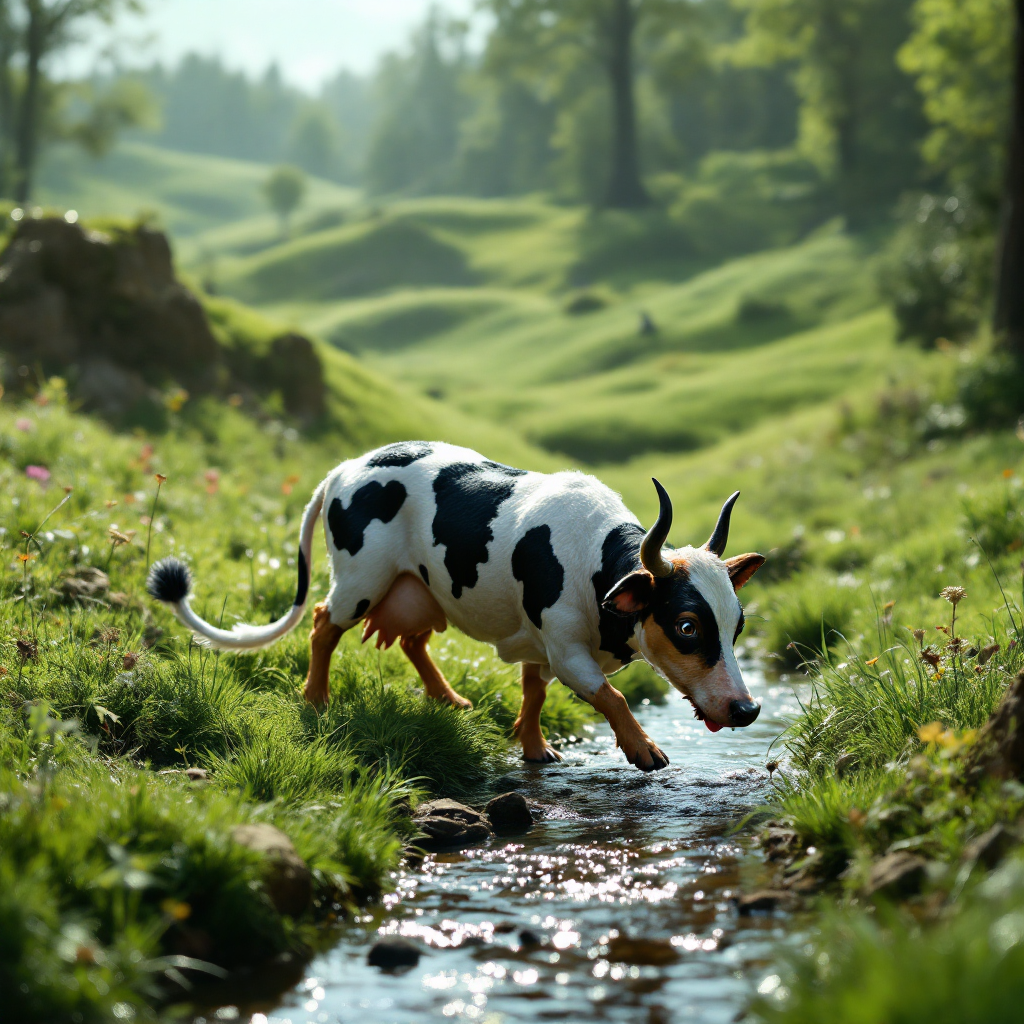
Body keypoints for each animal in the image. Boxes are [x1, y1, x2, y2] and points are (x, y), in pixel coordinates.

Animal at [148, 438, 765, 770]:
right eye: (687, 626)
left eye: (736, 627)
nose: (747, 710)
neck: (595, 561)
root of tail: (347, 467)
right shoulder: (567, 649)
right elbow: (610, 695)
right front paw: (643, 750)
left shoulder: (541, 646)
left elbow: (533, 693)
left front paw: (535, 748)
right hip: (359, 580)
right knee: (323, 624)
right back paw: (317, 699)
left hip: (422, 591)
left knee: (412, 640)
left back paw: (449, 699)